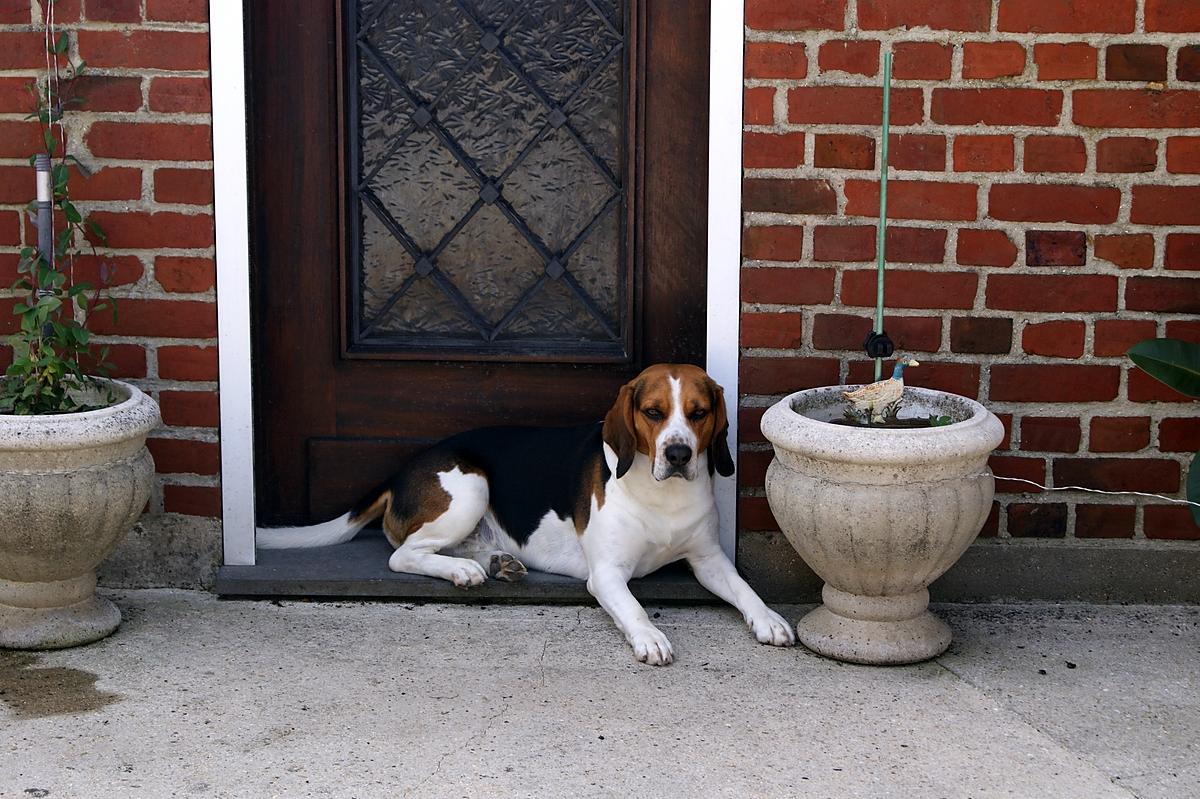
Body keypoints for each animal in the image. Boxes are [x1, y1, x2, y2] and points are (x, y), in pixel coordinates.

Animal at [258, 364, 792, 662]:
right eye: (654, 412)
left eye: (699, 413)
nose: (679, 454)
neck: (663, 497)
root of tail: (398, 473)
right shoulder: (607, 574)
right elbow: (634, 608)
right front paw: (650, 637)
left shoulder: (709, 559)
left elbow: (744, 589)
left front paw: (768, 618)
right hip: (471, 485)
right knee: (403, 555)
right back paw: (464, 572)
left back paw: (497, 563)